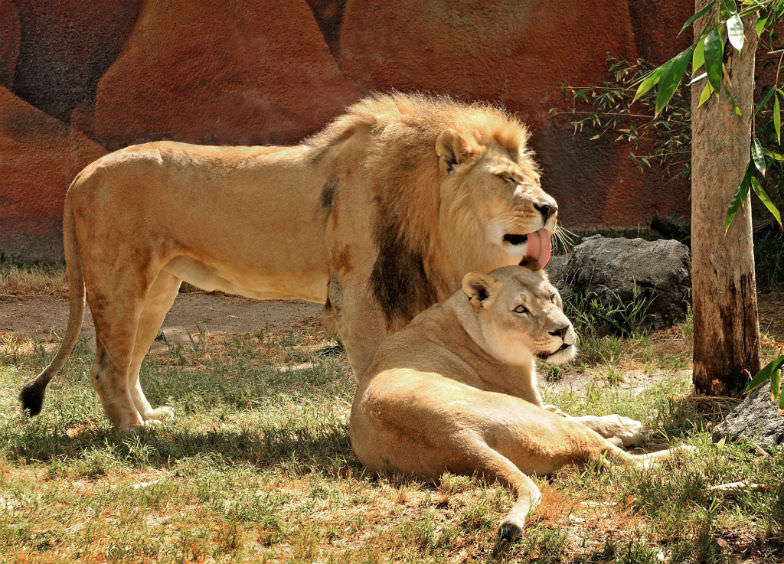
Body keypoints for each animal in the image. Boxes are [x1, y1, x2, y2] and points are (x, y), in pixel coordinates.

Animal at [18, 93, 556, 428]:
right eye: (507, 180)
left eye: (533, 178)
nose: (550, 208)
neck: (436, 220)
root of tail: (83, 173)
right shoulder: (357, 293)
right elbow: (373, 363)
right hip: (119, 280)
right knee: (106, 366)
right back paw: (133, 430)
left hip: (157, 289)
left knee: (128, 361)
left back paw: (149, 417)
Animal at [350, 264, 688, 540]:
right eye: (521, 309)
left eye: (552, 297)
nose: (563, 330)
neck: (468, 323)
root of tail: (455, 436)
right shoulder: (535, 404)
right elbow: (586, 419)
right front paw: (632, 427)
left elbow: (579, 415)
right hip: (533, 418)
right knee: (622, 460)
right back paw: (680, 451)